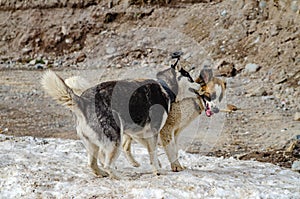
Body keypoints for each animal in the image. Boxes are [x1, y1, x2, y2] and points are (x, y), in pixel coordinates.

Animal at [40, 59, 195, 179]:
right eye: (190, 77)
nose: (200, 84)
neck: (164, 87)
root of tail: (83, 100)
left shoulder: (140, 133)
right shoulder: (153, 132)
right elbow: (155, 153)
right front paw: (159, 170)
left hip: (94, 144)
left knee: (93, 163)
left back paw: (102, 173)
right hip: (115, 141)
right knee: (107, 164)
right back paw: (118, 177)